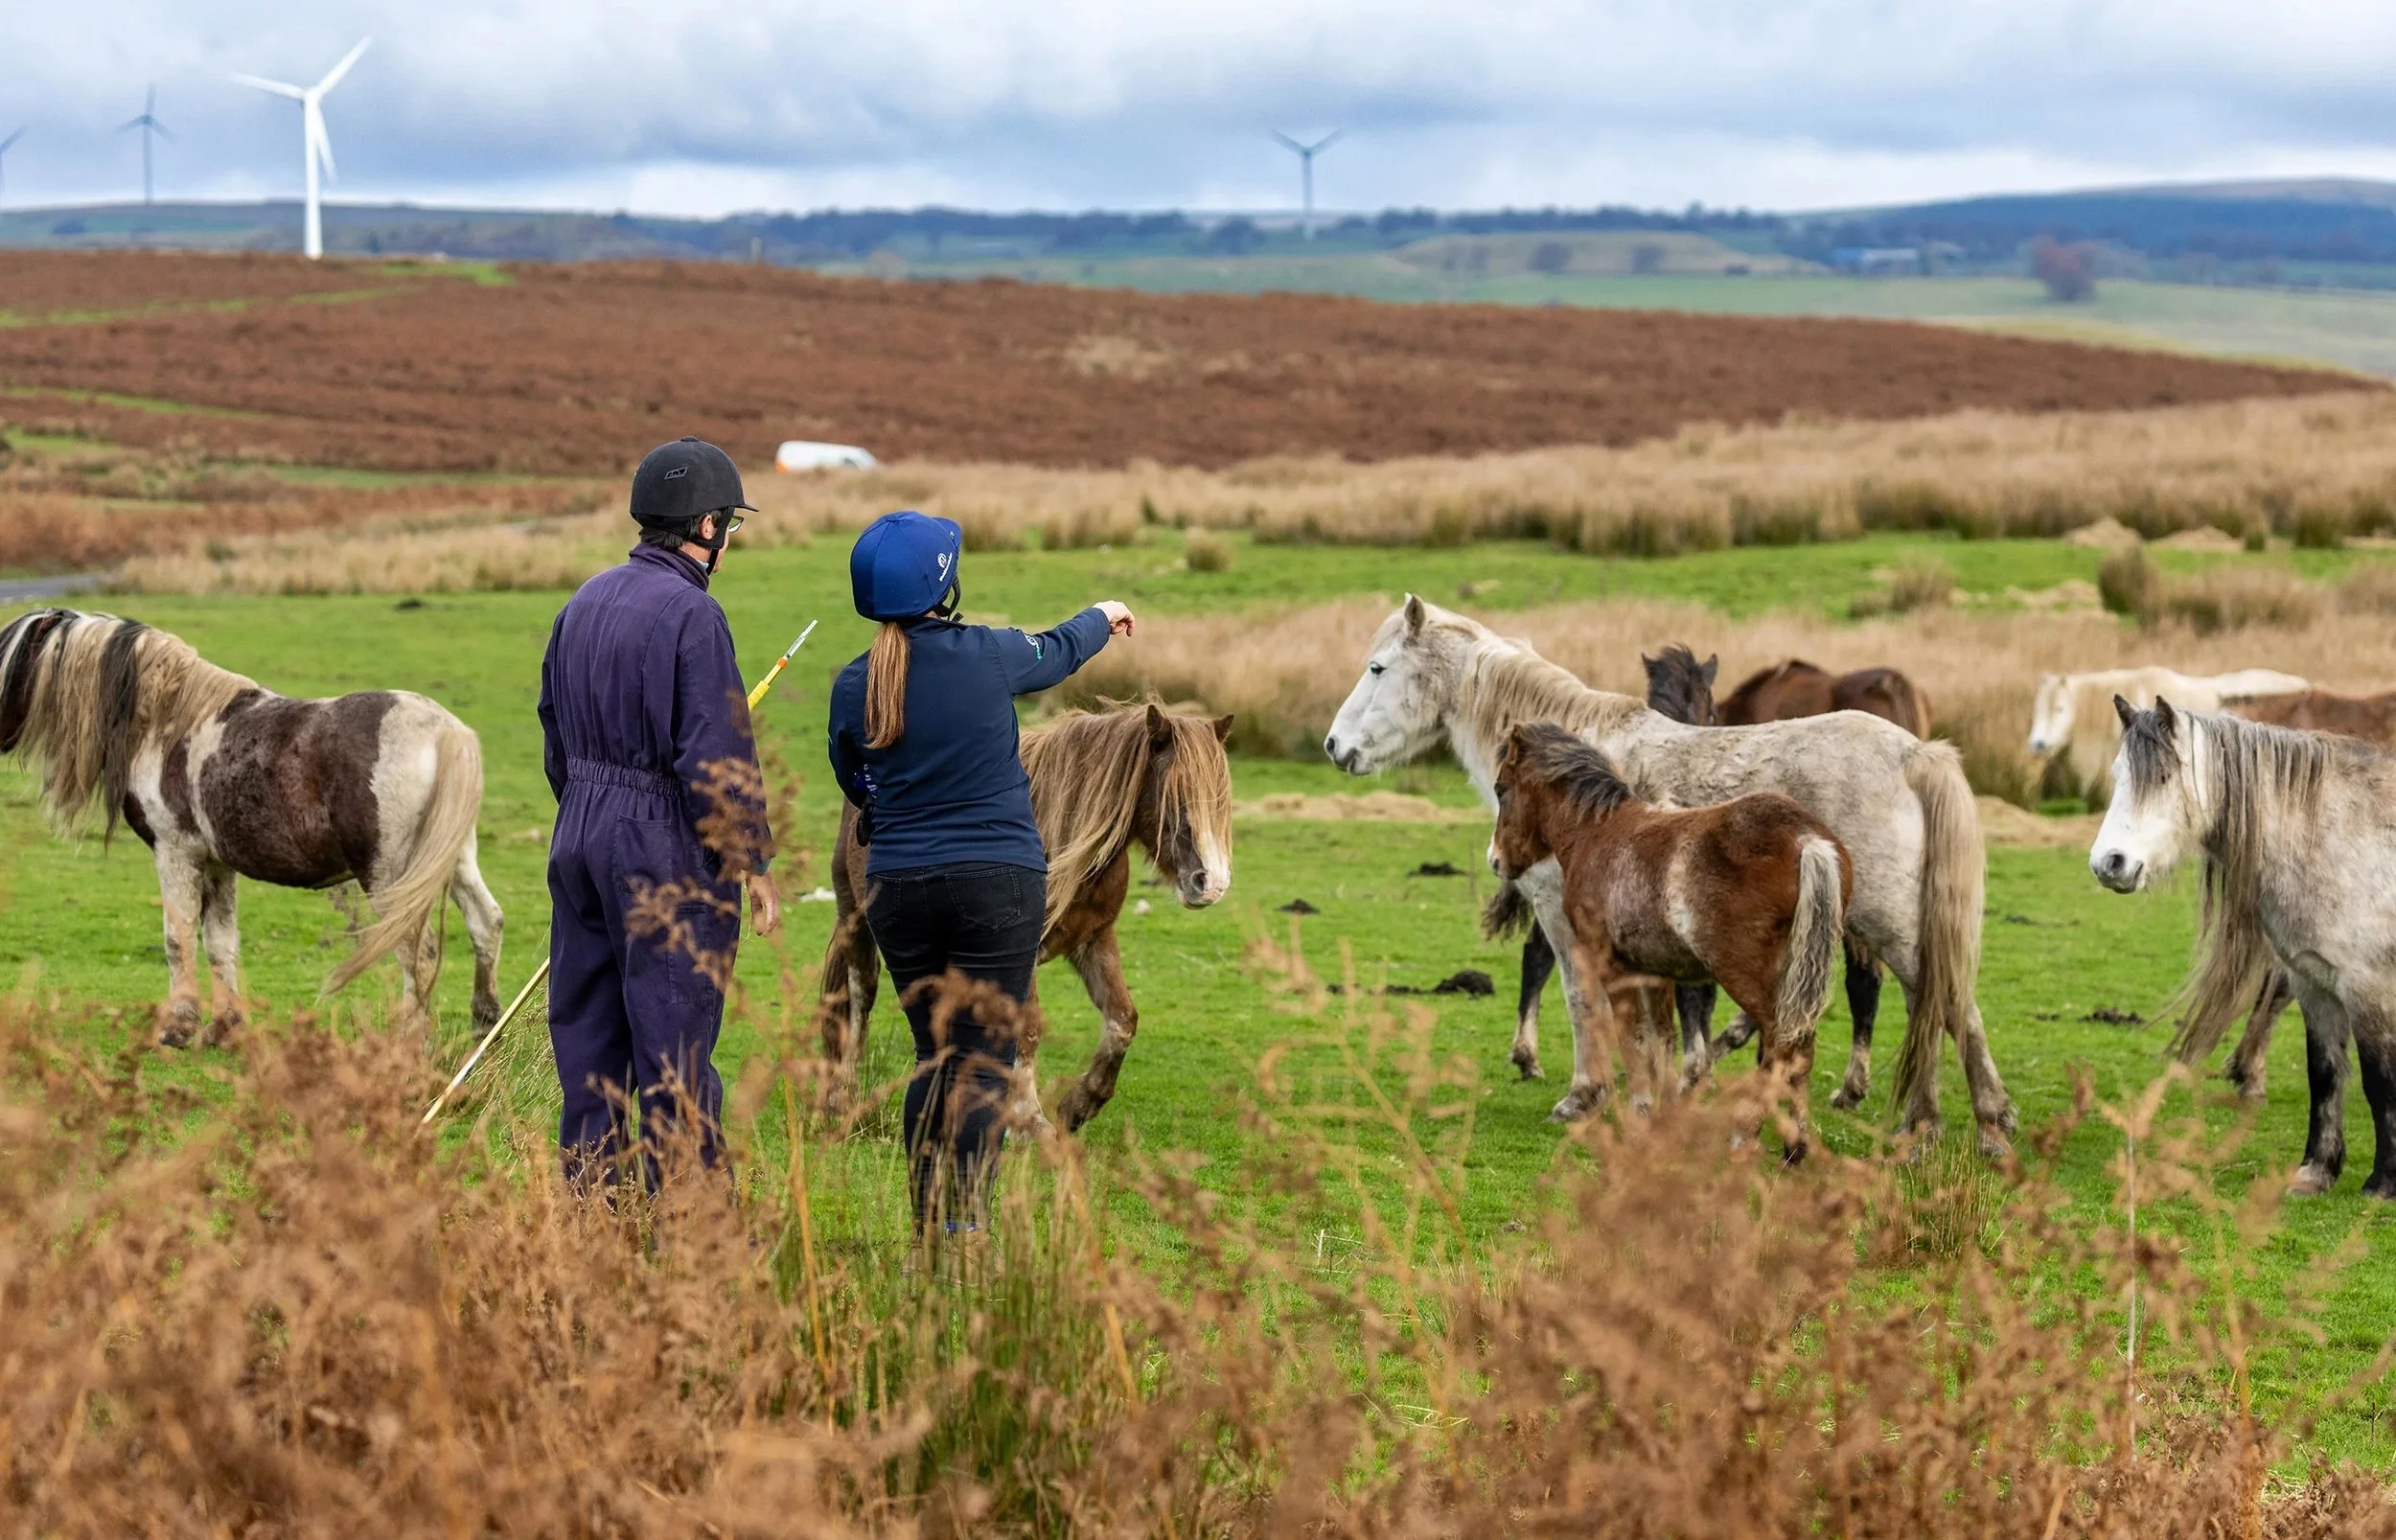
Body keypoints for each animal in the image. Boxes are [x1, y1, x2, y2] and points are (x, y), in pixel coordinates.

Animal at [0, 608, 503, 1045]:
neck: (168, 720)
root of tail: (444, 731)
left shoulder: (175, 853)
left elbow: (178, 939)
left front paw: (178, 1029)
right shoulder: (216, 863)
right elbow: (220, 944)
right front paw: (224, 1029)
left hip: (389, 875)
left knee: (418, 950)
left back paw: (408, 1041)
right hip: (453, 860)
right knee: (485, 923)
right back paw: (485, 1024)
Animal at [821, 701, 1234, 1133]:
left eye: (1221, 799)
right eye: (1175, 795)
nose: (1212, 883)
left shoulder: (1095, 940)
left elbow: (1123, 1022)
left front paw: (1080, 1104)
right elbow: (1027, 1029)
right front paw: (1029, 1121)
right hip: (856, 922)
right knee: (860, 997)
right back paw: (842, 1099)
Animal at [1490, 722, 1851, 1158]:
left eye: (1501, 790)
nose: (1496, 860)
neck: (1599, 834)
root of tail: (1809, 840)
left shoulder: (1613, 968)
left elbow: (1632, 1039)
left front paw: (1640, 1115)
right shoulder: (1656, 971)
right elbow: (1662, 1041)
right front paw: (1665, 1117)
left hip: (1749, 976)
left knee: (1784, 1046)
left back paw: (1745, 1134)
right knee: (1800, 1048)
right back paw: (1795, 1146)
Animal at [2090, 697, 2396, 1197]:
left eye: (2163, 777)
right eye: (2119, 775)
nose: (2108, 864)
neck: (2339, 837)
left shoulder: (2368, 989)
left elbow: (2378, 1079)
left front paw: (2383, 1184)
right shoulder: (2313, 984)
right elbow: (2325, 1074)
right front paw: (2316, 1172)